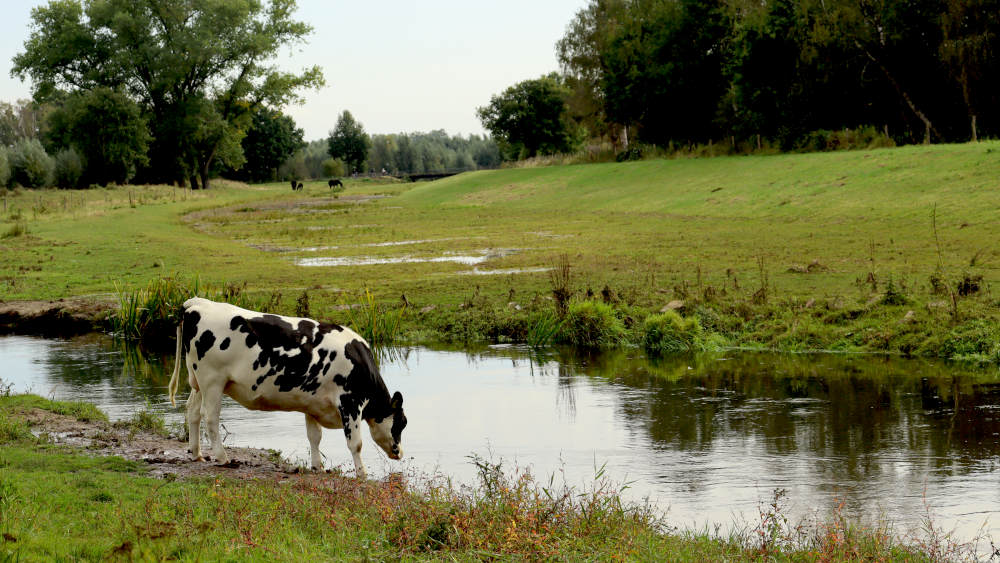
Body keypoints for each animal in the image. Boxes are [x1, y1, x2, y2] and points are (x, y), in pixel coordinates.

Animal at [168, 298, 406, 478]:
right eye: (401, 423)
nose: (400, 453)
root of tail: (197, 303)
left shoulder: (313, 404)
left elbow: (314, 437)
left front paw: (317, 467)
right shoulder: (350, 402)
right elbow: (355, 443)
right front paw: (362, 474)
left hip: (198, 382)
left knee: (192, 412)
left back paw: (196, 453)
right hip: (212, 380)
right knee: (210, 417)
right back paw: (222, 457)